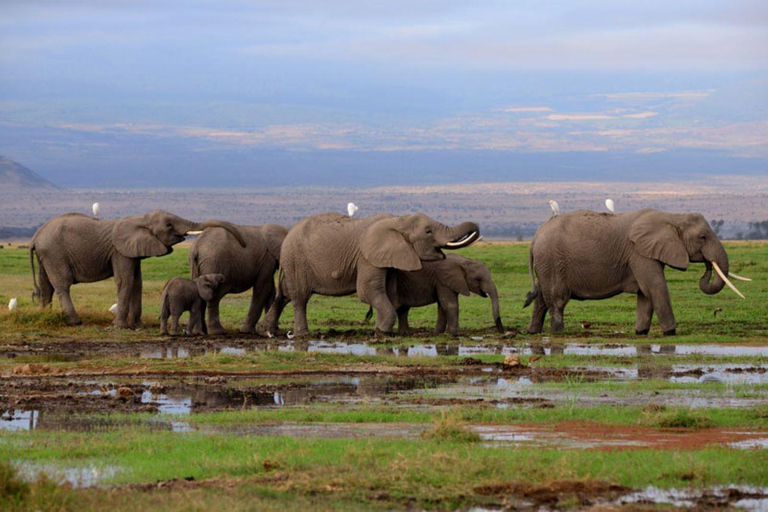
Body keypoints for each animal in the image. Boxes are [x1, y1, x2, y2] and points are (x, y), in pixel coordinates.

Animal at [29, 211, 246, 328]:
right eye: (168, 225)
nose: (243, 245)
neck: (140, 219)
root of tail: (35, 237)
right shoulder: (120, 251)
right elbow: (125, 281)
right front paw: (119, 326)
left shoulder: (133, 251)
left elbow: (137, 281)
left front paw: (137, 326)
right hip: (54, 252)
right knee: (62, 284)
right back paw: (75, 321)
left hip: (46, 255)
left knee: (46, 285)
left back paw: (45, 315)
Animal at [266, 211, 480, 336]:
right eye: (428, 232)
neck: (398, 220)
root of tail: (288, 236)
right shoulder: (366, 256)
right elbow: (368, 290)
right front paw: (383, 331)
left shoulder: (389, 258)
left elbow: (388, 292)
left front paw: (379, 329)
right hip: (296, 260)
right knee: (300, 297)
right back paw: (302, 335)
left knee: (286, 295)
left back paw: (267, 331)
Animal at [370, 253, 504, 336]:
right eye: (478, 279)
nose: (503, 332)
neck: (464, 261)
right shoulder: (442, 281)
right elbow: (450, 304)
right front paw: (454, 334)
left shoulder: (446, 283)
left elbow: (442, 306)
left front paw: (438, 333)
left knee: (403, 309)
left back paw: (404, 334)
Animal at [520, 208, 752, 336]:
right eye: (702, 237)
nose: (707, 267)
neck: (672, 217)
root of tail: (534, 238)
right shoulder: (639, 253)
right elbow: (655, 288)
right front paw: (671, 333)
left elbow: (645, 295)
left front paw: (640, 332)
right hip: (552, 261)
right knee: (557, 300)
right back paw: (558, 332)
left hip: (546, 264)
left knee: (541, 298)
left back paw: (533, 331)